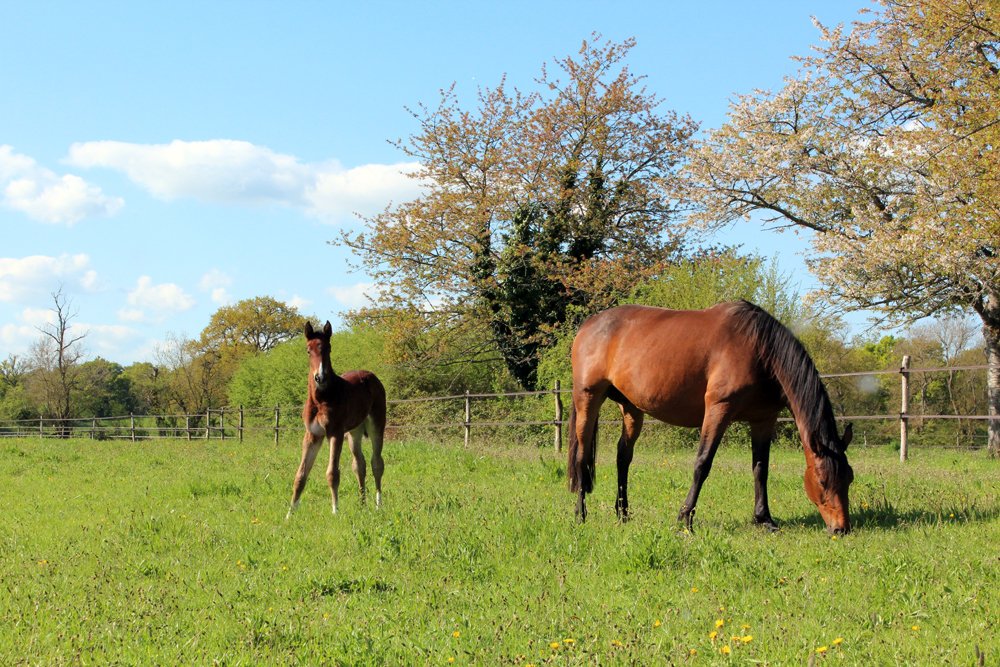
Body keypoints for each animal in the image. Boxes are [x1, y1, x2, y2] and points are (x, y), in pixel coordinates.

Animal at [286, 320, 387, 519]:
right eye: (308, 350)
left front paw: (335, 511)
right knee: (359, 464)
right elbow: (300, 475)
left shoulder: (335, 433)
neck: (321, 399)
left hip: (376, 425)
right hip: (354, 432)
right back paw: (362, 505)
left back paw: (379, 505)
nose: (320, 377)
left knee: (376, 462)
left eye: (328, 348)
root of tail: (372, 377)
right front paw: (289, 515)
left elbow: (332, 473)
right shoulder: (312, 435)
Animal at [567, 301, 854, 534]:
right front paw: (685, 518)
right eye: (822, 481)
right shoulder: (719, 409)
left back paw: (623, 514)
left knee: (623, 457)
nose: (841, 528)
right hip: (588, 398)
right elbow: (702, 464)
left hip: (631, 407)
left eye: (849, 478)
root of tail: (588, 325)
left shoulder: (763, 419)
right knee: (582, 455)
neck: (759, 349)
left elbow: (761, 469)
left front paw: (765, 520)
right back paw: (580, 515)